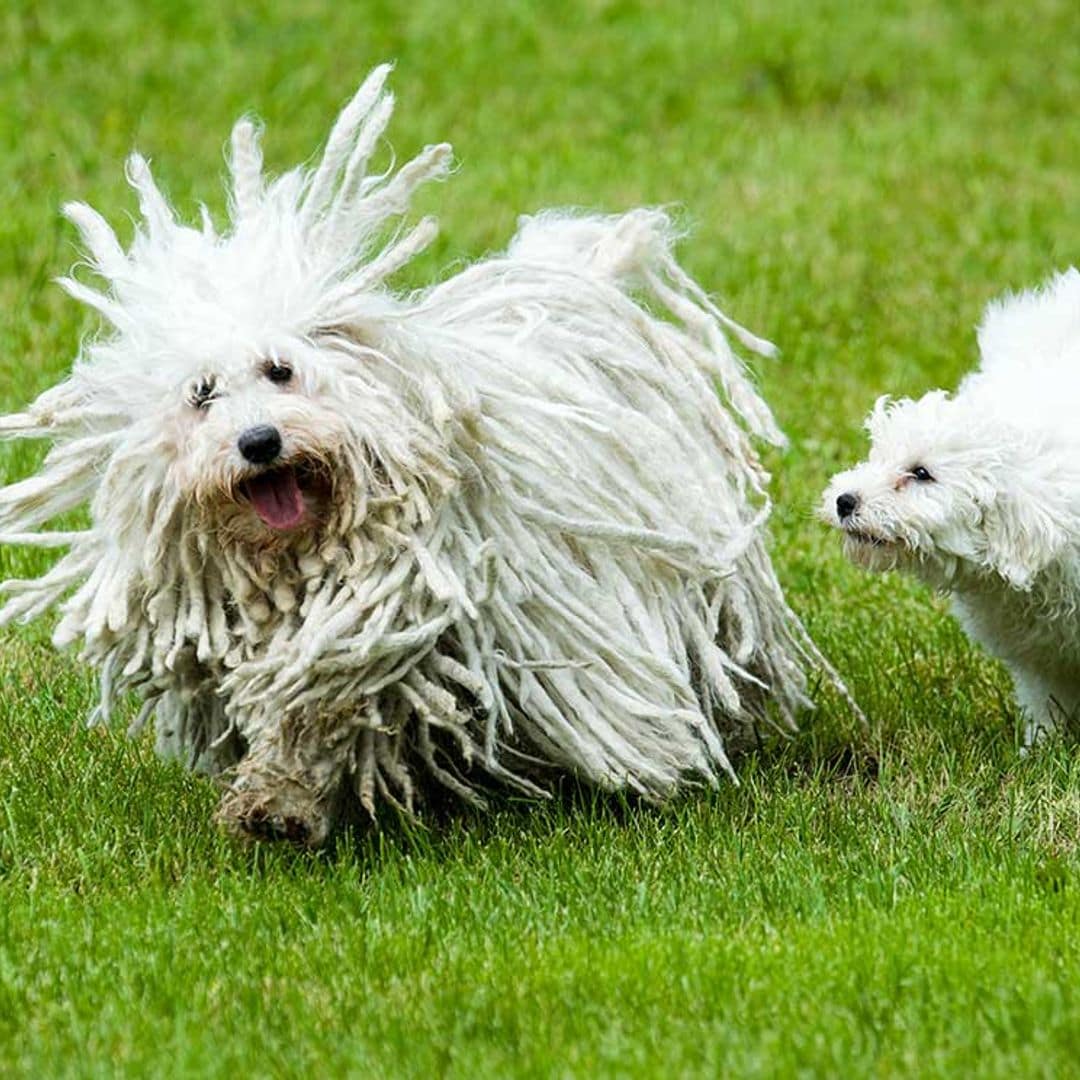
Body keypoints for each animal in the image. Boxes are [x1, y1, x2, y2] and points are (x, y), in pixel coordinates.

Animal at [2, 67, 851, 846]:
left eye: (280, 371)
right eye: (202, 394)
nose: (259, 442)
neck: (298, 559)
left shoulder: (389, 606)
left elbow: (325, 692)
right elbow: (304, 718)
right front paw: (279, 802)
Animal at [820, 267, 1080, 751]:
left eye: (921, 473)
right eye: (877, 454)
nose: (844, 500)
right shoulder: (1040, 654)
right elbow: (1047, 703)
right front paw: (1039, 751)